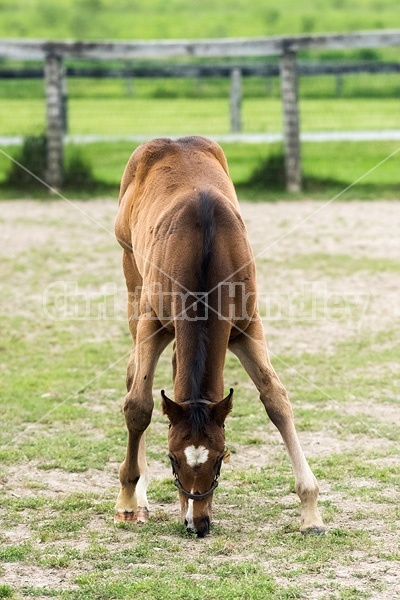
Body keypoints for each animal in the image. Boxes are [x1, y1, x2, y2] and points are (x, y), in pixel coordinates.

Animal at [113, 137, 324, 540]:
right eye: (172, 458)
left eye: (221, 458)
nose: (197, 524)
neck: (205, 249)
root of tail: (173, 140)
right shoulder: (153, 323)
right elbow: (139, 406)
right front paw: (129, 502)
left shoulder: (245, 328)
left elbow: (276, 399)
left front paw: (311, 513)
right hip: (132, 277)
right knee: (133, 371)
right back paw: (139, 497)